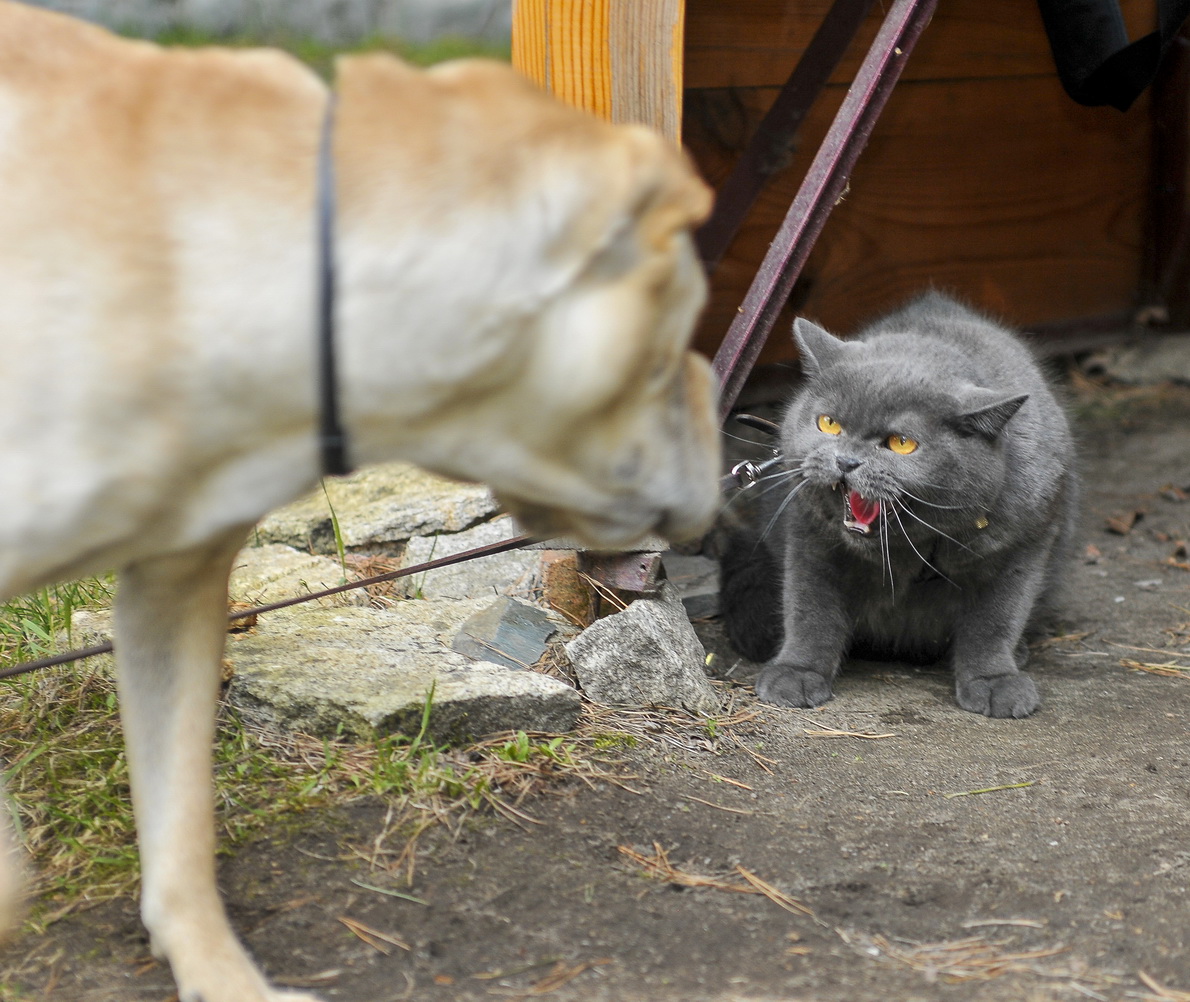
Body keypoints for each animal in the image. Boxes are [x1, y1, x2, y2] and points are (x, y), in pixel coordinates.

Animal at [714, 292, 1080, 714]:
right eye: (828, 423)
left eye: (901, 443)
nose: (846, 461)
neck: (908, 551)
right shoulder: (811, 538)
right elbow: (809, 608)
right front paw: (796, 672)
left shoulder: (1023, 546)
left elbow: (996, 619)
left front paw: (995, 682)